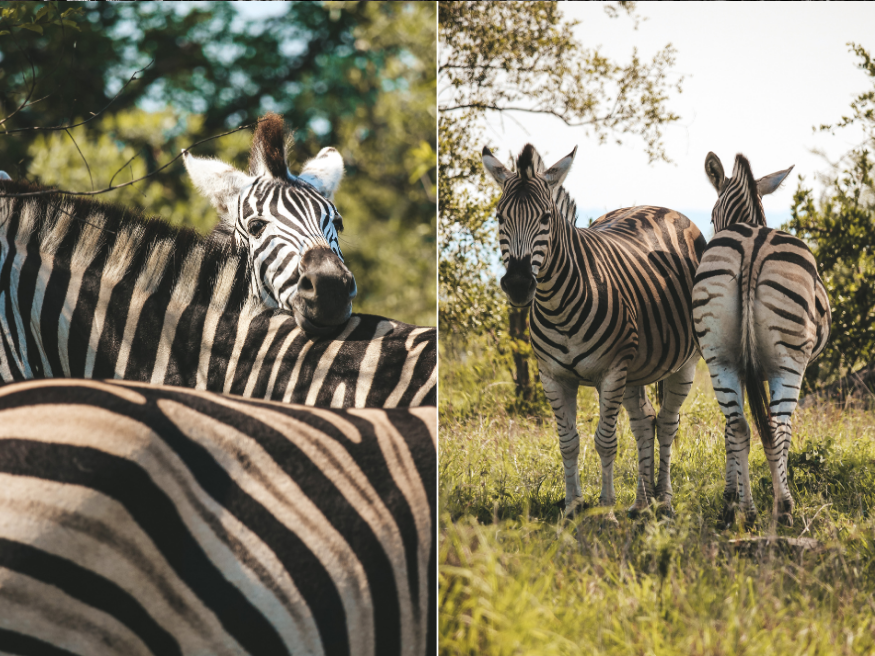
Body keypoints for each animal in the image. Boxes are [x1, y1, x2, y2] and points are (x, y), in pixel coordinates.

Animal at [482, 143, 706, 517]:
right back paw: (641, 503)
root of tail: (661, 208)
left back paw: (664, 501)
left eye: (546, 218)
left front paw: (606, 509)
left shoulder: (611, 371)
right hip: (636, 369)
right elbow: (568, 442)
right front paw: (574, 506)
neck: (558, 304)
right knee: (644, 422)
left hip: (682, 362)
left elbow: (605, 440)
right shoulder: (553, 376)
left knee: (667, 424)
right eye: (500, 217)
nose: (518, 284)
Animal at [692, 152, 831, 527]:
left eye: (711, 217)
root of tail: (751, 246)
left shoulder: (740, 367)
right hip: (789, 362)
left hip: (718, 355)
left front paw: (731, 501)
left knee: (738, 425)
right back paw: (783, 508)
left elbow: (733, 432)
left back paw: (749, 511)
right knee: (778, 427)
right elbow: (781, 431)